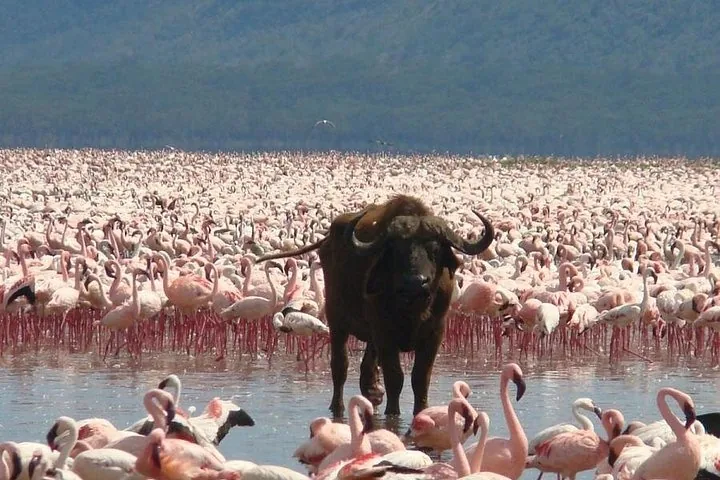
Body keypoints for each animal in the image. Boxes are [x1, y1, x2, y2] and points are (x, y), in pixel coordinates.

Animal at [257, 195, 494, 416]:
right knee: (340, 366)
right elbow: (395, 377)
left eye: (434, 249)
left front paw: (421, 410)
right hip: (336, 321)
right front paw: (393, 413)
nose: (416, 282)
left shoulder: (435, 331)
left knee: (367, 368)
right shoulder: (383, 331)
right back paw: (338, 406)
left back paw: (372, 394)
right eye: (397, 250)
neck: (412, 308)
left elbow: (420, 377)